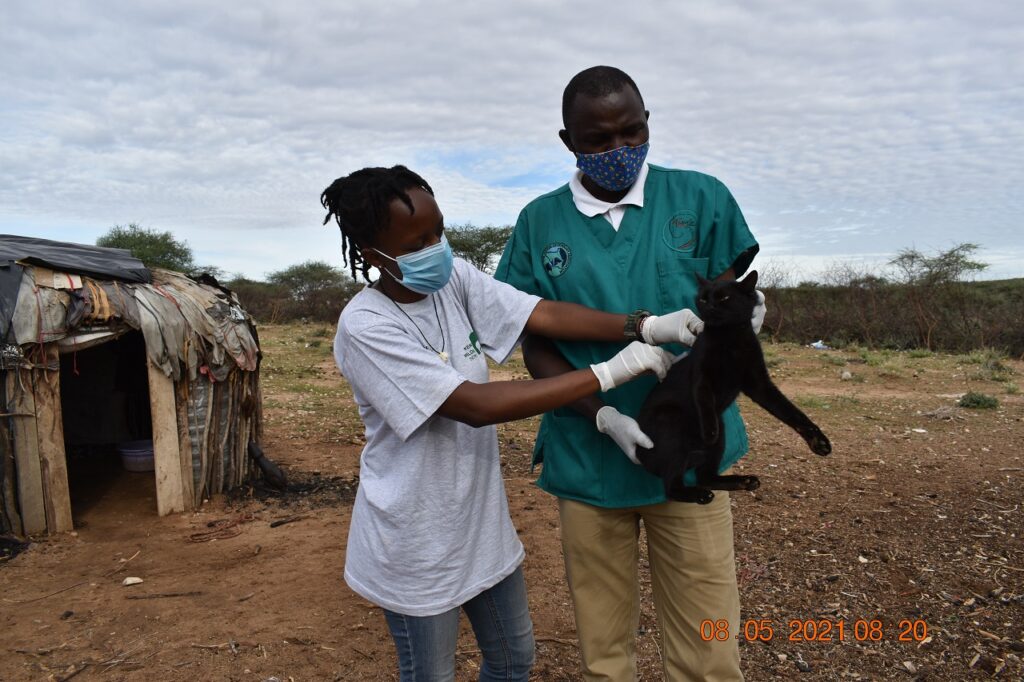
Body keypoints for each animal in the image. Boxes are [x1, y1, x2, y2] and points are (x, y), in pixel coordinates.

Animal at [638, 270, 831, 499]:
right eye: (703, 298)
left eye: (724, 298)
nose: (710, 307)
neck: (730, 339)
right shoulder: (702, 377)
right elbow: (704, 403)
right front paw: (709, 432)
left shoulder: (759, 384)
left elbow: (792, 412)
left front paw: (818, 440)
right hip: (673, 422)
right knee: (672, 487)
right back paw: (701, 494)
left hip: (720, 434)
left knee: (706, 477)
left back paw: (744, 481)